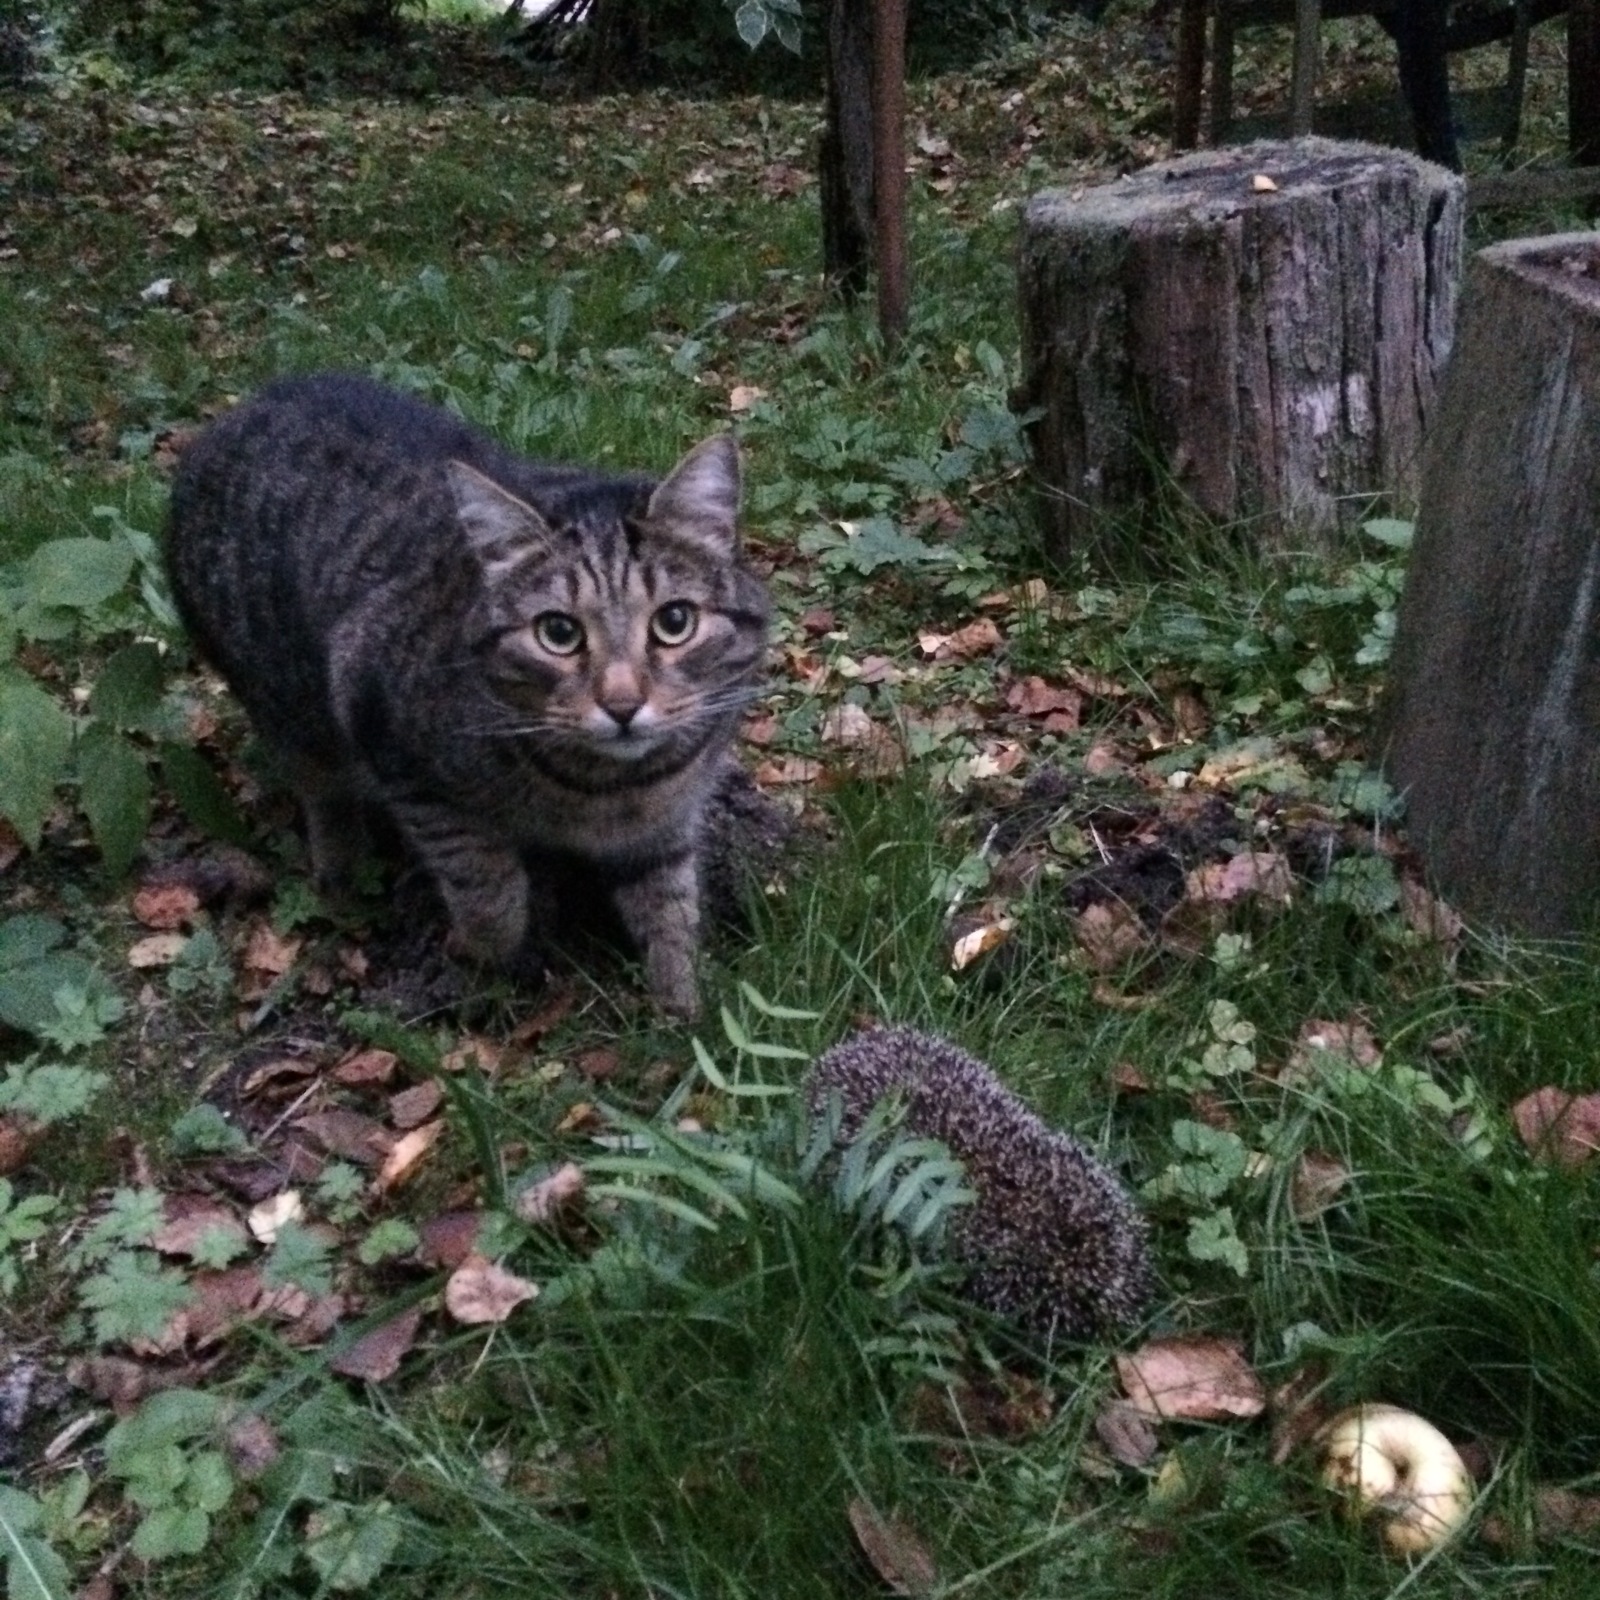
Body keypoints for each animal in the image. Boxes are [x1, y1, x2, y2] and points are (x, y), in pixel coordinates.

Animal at [172, 374, 771, 1011]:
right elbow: (488, 889)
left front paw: (684, 1011)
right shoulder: (399, 752)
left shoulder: (665, 827)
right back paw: (344, 872)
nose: (623, 705)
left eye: (674, 621)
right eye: (558, 633)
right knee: (322, 793)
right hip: (291, 709)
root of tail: (243, 407)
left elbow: (671, 911)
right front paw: (491, 961)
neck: (613, 790)